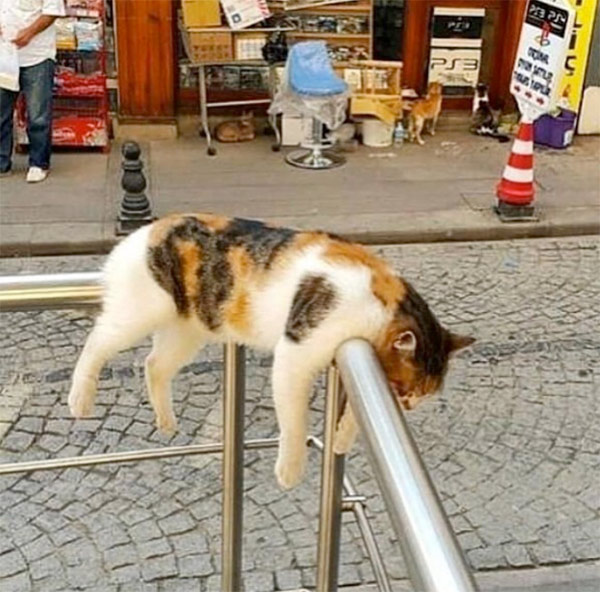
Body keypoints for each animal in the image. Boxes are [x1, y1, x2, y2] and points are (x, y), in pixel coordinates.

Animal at [69, 215, 474, 488]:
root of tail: (143, 231)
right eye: (406, 389)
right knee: (98, 340)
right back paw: (80, 398)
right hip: (141, 312)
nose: (409, 406)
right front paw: (291, 470)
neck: (380, 304)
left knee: (153, 364)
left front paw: (341, 441)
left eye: (424, 394)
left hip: (188, 329)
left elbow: (351, 417)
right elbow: (294, 421)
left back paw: (166, 420)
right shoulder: (296, 354)